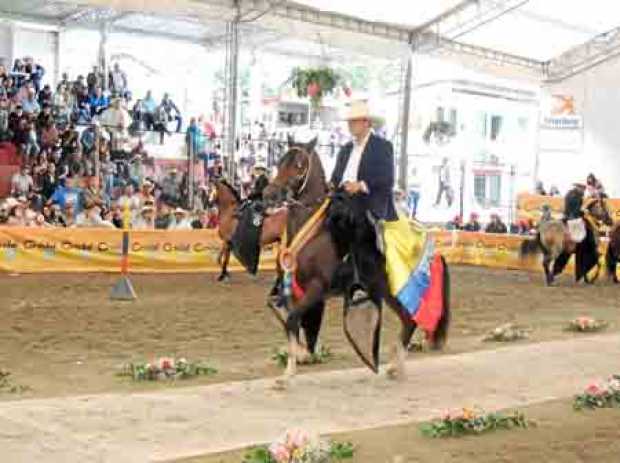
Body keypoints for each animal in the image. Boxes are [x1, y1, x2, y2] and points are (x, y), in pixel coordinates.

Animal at [262, 138, 450, 388]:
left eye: (299, 165)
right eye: (280, 161)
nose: (269, 194)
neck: (312, 232)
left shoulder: (317, 287)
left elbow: (292, 319)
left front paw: (289, 372)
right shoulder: (291, 287)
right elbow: (286, 317)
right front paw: (297, 360)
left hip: (398, 290)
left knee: (411, 320)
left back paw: (397, 368)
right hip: (387, 292)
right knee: (407, 321)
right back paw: (394, 368)